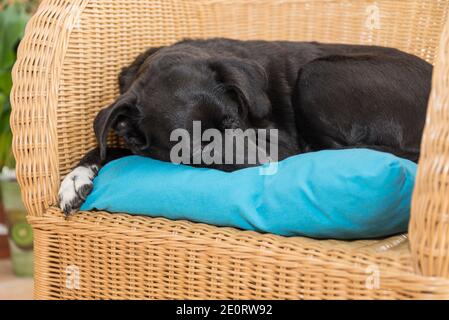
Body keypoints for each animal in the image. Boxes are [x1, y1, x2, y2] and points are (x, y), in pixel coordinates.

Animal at [58, 38, 430, 216]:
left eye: (235, 119)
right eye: (195, 147)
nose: (268, 165)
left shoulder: (279, 141)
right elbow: (114, 148)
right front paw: (75, 177)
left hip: (317, 74)